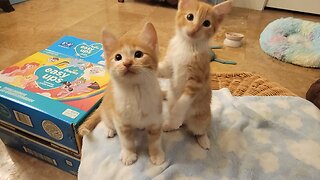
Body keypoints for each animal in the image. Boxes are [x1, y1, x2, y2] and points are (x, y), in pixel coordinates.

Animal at [79, 22, 165, 166]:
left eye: (138, 54)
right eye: (118, 57)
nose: (127, 63)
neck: (136, 92)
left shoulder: (155, 118)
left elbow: (155, 140)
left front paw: (156, 154)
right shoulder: (121, 121)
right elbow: (126, 141)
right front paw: (129, 155)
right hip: (108, 111)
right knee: (106, 120)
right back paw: (110, 130)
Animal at [158, 0, 231, 149]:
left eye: (206, 23)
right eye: (190, 17)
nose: (194, 30)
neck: (186, 45)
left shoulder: (197, 80)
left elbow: (183, 101)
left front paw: (177, 114)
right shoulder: (170, 65)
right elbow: (164, 70)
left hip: (201, 119)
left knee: (200, 130)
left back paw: (203, 140)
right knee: (179, 123)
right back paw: (170, 125)